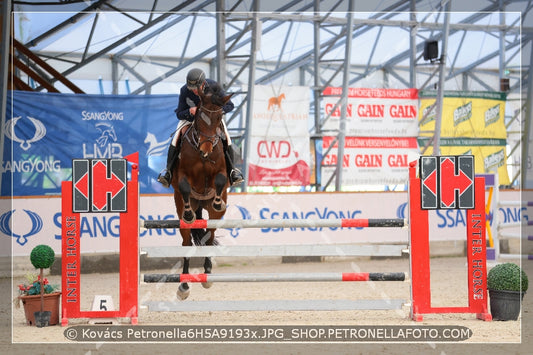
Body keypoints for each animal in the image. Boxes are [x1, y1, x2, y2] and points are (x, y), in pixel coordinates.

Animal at [170, 82, 233, 300]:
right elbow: (184, 186)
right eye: (199, 116)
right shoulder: (182, 175)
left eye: (219, 117)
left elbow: (221, 179)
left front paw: (218, 201)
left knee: (209, 236)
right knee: (187, 243)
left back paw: (207, 274)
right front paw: (189, 214)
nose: (206, 149)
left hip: (213, 216)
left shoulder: (221, 170)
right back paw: (184, 286)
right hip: (183, 214)